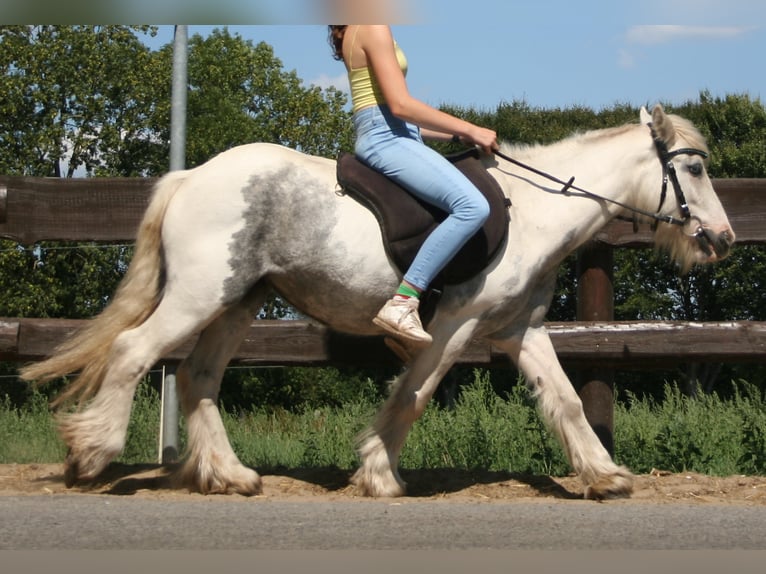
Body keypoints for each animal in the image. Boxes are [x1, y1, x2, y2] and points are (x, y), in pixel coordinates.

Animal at [21, 107, 736, 500]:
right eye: (694, 170)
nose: (724, 239)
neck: (535, 211)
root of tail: (191, 175)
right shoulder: (454, 325)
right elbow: (414, 394)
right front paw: (378, 473)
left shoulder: (518, 332)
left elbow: (565, 402)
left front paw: (606, 475)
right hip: (200, 295)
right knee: (133, 351)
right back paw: (92, 455)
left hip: (237, 301)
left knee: (197, 378)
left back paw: (231, 475)